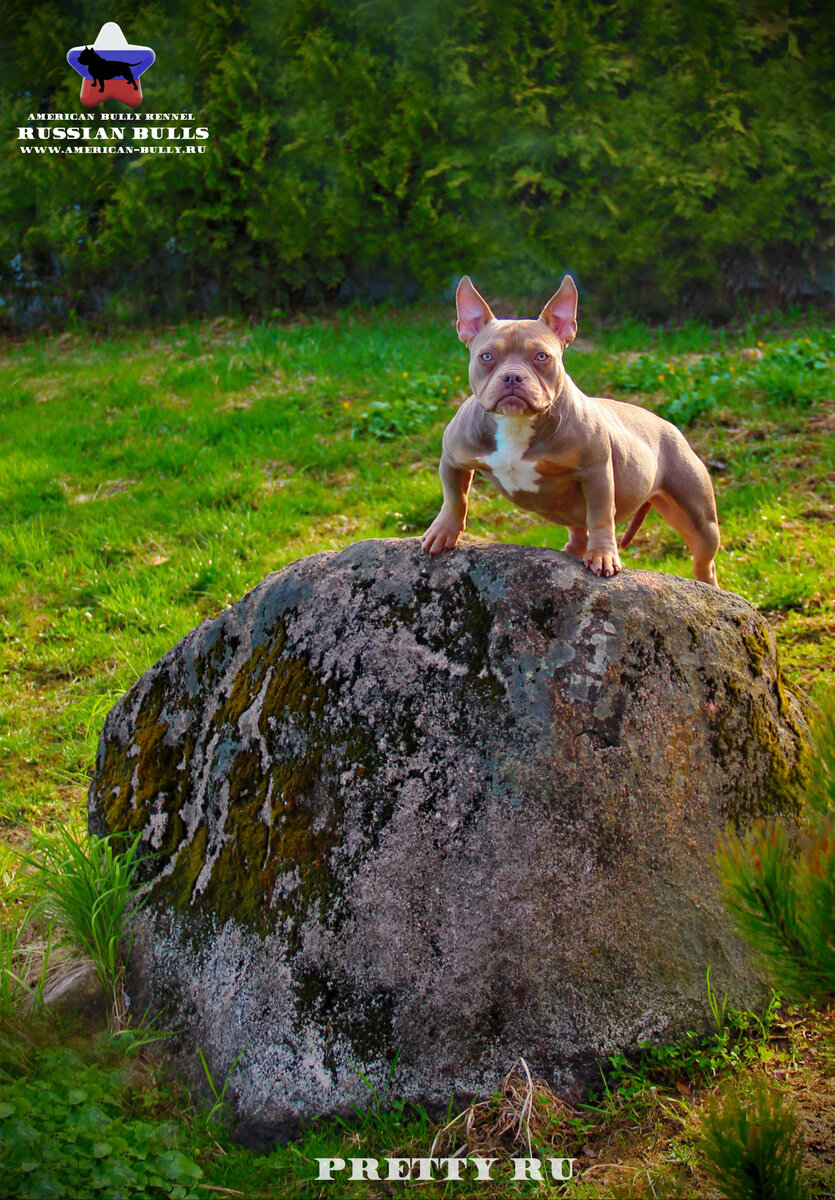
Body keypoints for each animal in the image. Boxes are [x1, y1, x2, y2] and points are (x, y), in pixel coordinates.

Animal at [419, 276, 719, 585]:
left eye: (542, 356)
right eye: (487, 356)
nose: (512, 376)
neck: (516, 422)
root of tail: (670, 426)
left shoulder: (596, 473)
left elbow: (601, 516)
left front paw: (603, 555)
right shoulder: (453, 460)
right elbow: (455, 499)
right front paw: (442, 532)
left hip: (697, 516)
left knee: (704, 560)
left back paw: (705, 584)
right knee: (578, 533)